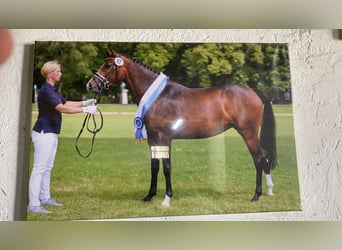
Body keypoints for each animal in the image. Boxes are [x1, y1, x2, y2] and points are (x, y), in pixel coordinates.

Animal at [87, 49, 276, 207]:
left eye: (108, 65)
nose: (90, 85)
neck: (159, 97)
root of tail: (253, 91)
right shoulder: (153, 138)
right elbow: (154, 166)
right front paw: (149, 196)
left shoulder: (164, 137)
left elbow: (167, 167)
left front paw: (167, 198)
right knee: (265, 156)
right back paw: (269, 190)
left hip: (248, 133)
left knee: (259, 158)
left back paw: (257, 195)